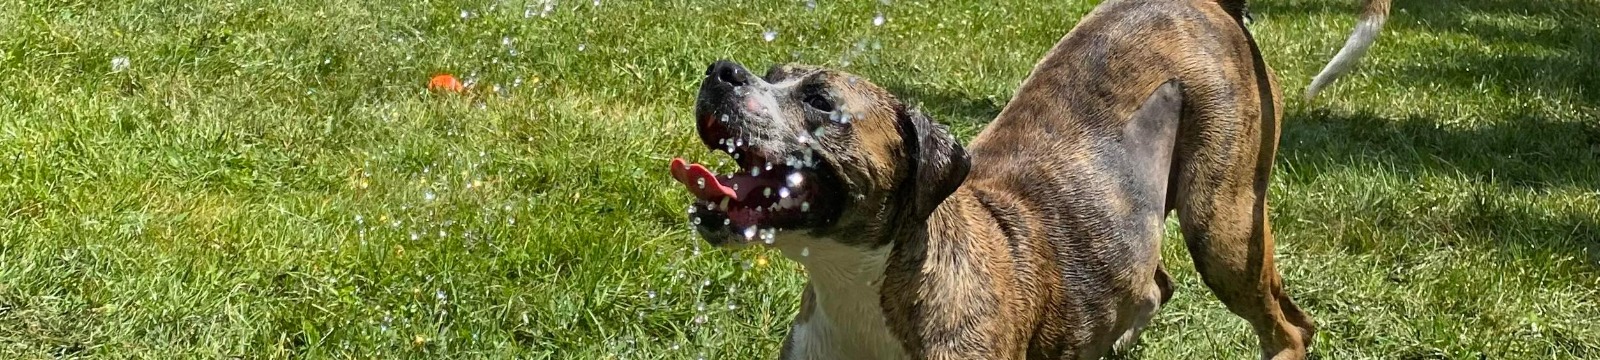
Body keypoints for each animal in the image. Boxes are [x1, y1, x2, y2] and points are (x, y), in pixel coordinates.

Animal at [662, 0, 1388, 356]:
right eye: (769, 73)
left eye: (818, 100)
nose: (721, 71)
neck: (860, 291)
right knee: (1154, 287)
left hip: (1226, 227)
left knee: (1288, 329)